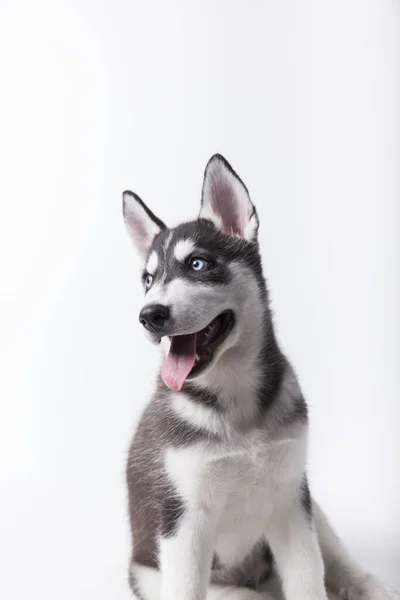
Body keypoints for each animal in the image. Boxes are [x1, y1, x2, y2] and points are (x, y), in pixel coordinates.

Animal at [122, 155, 400, 600]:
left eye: (198, 264)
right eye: (148, 280)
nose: (149, 315)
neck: (235, 402)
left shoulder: (291, 502)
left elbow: (309, 576)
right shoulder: (183, 520)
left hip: (308, 501)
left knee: (335, 557)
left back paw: (369, 584)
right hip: (152, 574)